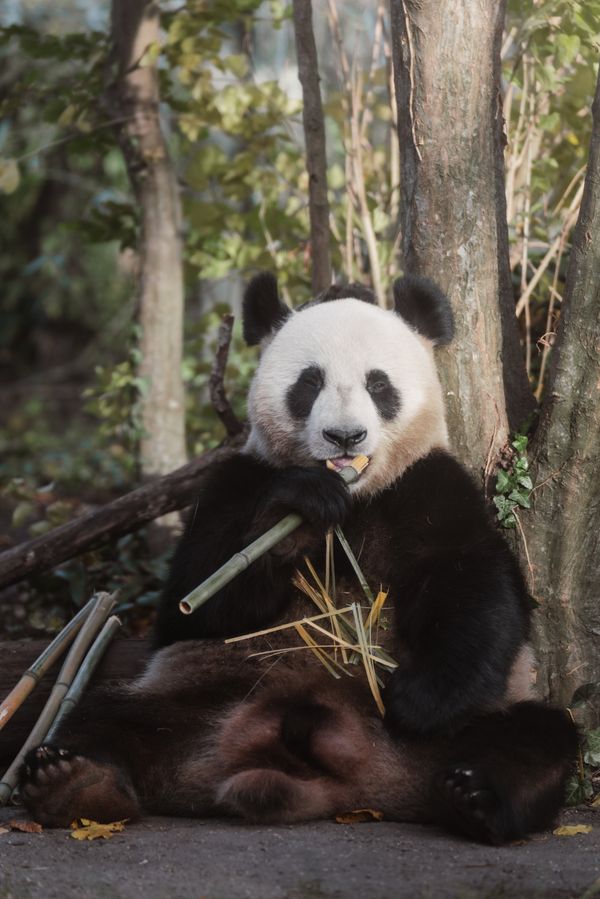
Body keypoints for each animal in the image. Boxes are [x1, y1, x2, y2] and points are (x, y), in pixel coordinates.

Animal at [19, 273, 577, 844]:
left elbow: (477, 590)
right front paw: (302, 509)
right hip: (201, 694)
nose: (345, 436)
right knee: (103, 717)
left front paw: (417, 701)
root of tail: (353, 784)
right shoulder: (237, 481)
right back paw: (74, 782)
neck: (355, 497)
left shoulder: (429, 485)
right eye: (309, 383)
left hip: (472, 728)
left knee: (536, 738)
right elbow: (193, 600)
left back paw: (474, 797)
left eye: (379, 385)